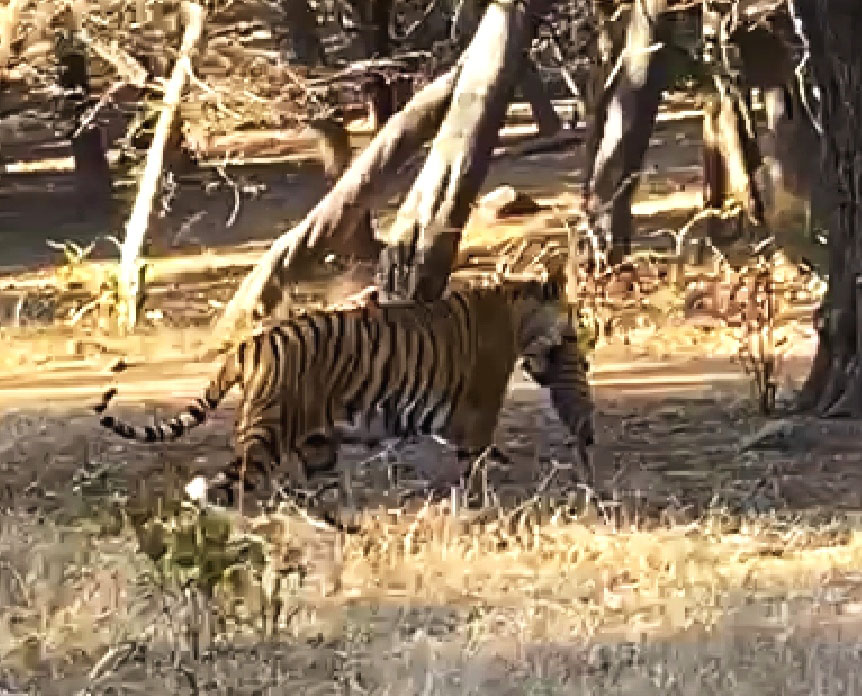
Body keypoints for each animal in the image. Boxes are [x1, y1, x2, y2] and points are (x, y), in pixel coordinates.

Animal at [94, 275, 595, 510]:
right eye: (570, 319)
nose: (579, 347)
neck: (518, 316)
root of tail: (247, 344)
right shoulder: (478, 413)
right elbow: (475, 467)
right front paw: (480, 508)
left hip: (316, 443)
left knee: (313, 490)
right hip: (266, 433)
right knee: (226, 487)